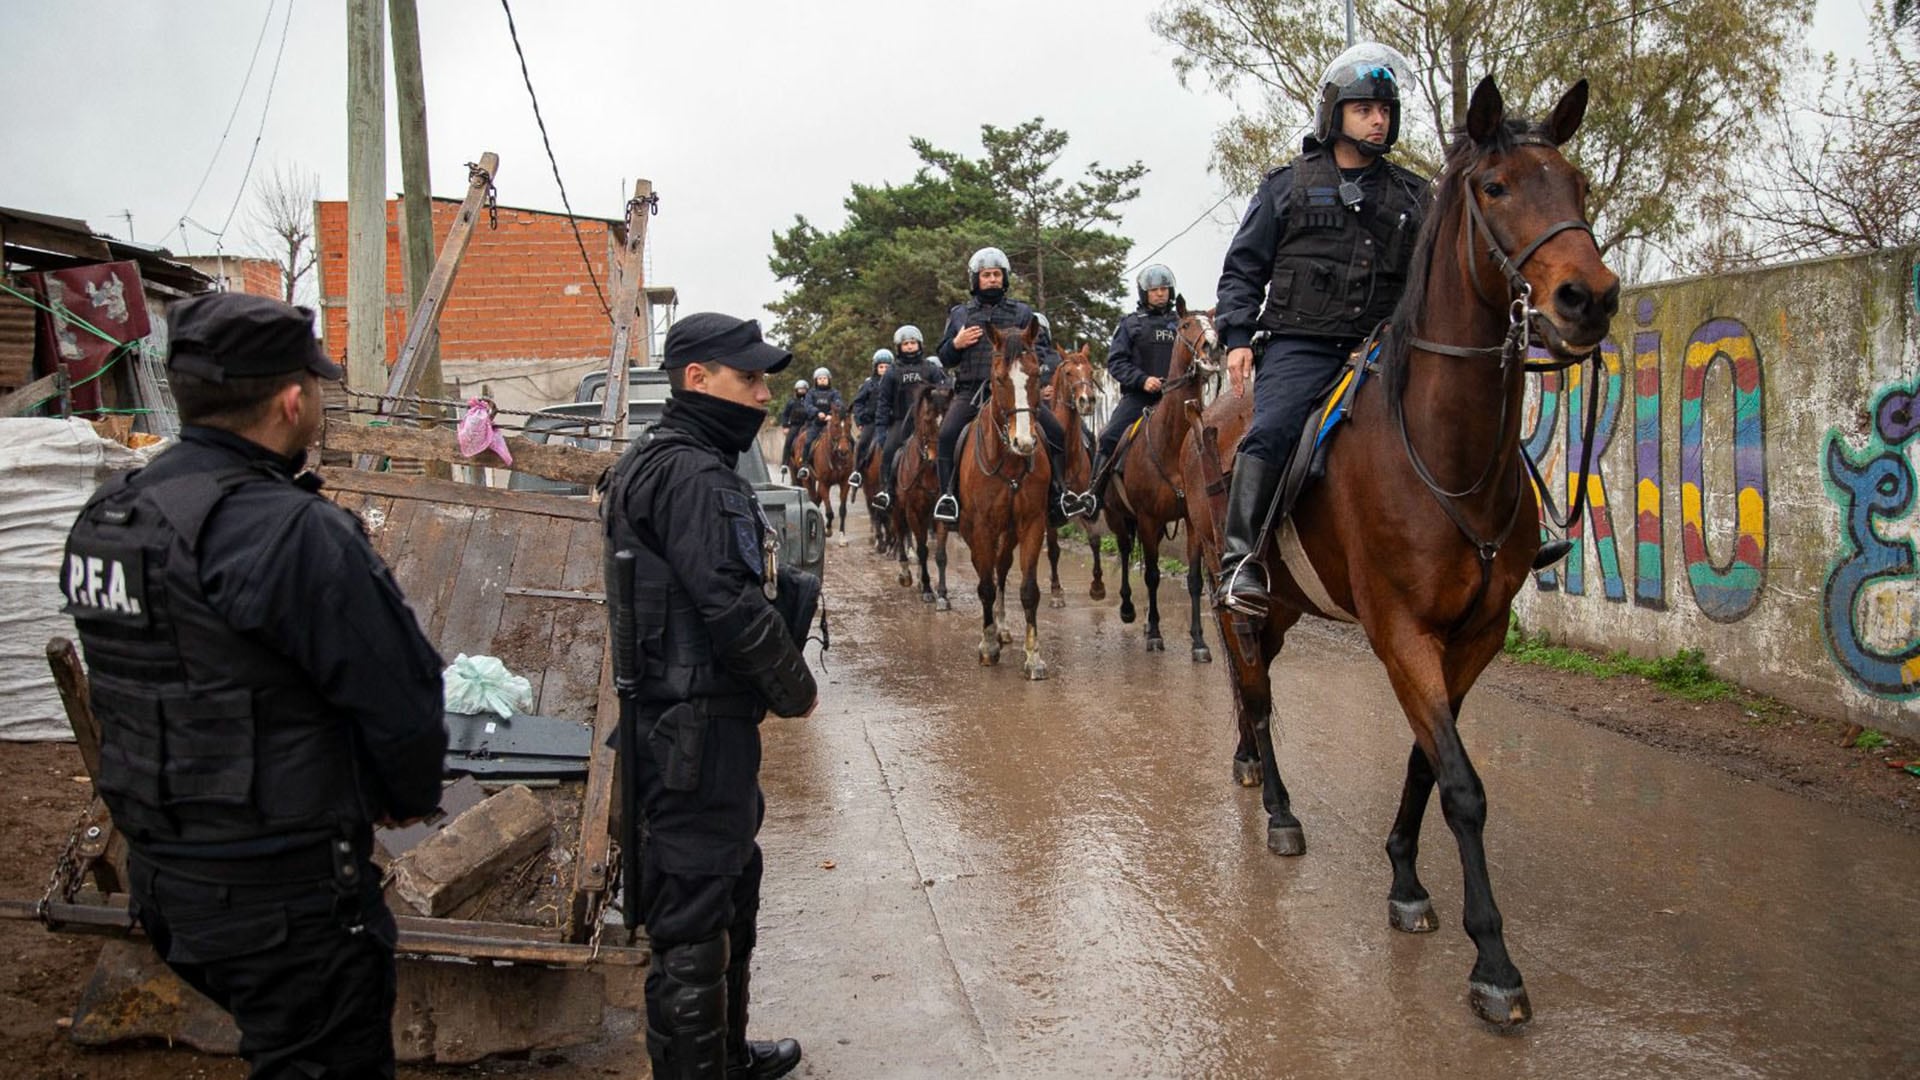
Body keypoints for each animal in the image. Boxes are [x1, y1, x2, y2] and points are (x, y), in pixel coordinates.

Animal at [890, 382, 952, 599]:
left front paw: (942, 593)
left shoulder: (939, 513)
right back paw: (906, 574)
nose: (935, 457)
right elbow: (922, 550)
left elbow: (940, 554)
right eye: (927, 418)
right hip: (898, 510)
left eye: (948, 415)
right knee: (901, 534)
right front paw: (926, 588)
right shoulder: (913, 511)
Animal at [956, 319, 1052, 676]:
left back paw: (1003, 626)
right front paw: (987, 646)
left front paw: (1033, 656)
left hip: (1009, 533)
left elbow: (1028, 589)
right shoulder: (982, 527)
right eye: (999, 379)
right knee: (986, 570)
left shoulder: (1032, 524)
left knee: (1001, 567)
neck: (1010, 461)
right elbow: (983, 585)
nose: (1024, 442)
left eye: (1036, 374)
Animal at [1105, 303, 1221, 657]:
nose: (1213, 346)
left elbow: (1195, 580)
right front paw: (1155, 633)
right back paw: (1129, 610)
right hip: (1120, 518)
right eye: (1185, 325)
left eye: (1213, 324)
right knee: (1126, 553)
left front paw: (1198, 640)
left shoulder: (1192, 521)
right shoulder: (1146, 517)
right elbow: (1153, 576)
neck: (1173, 445)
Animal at [1175, 77, 1612, 1022]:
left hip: (1290, 607)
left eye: (1578, 184)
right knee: (1256, 693)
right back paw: (1279, 809)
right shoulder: (1401, 632)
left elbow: (1426, 764)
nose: (1590, 298)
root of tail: (1210, 415)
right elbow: (1463, 785)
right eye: (1496, 188)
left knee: (1253, 691)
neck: (1446, 453)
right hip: (1246, 594)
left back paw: (1245, 764)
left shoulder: (1474, 637)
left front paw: (1406, 881)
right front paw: (1494, 961)